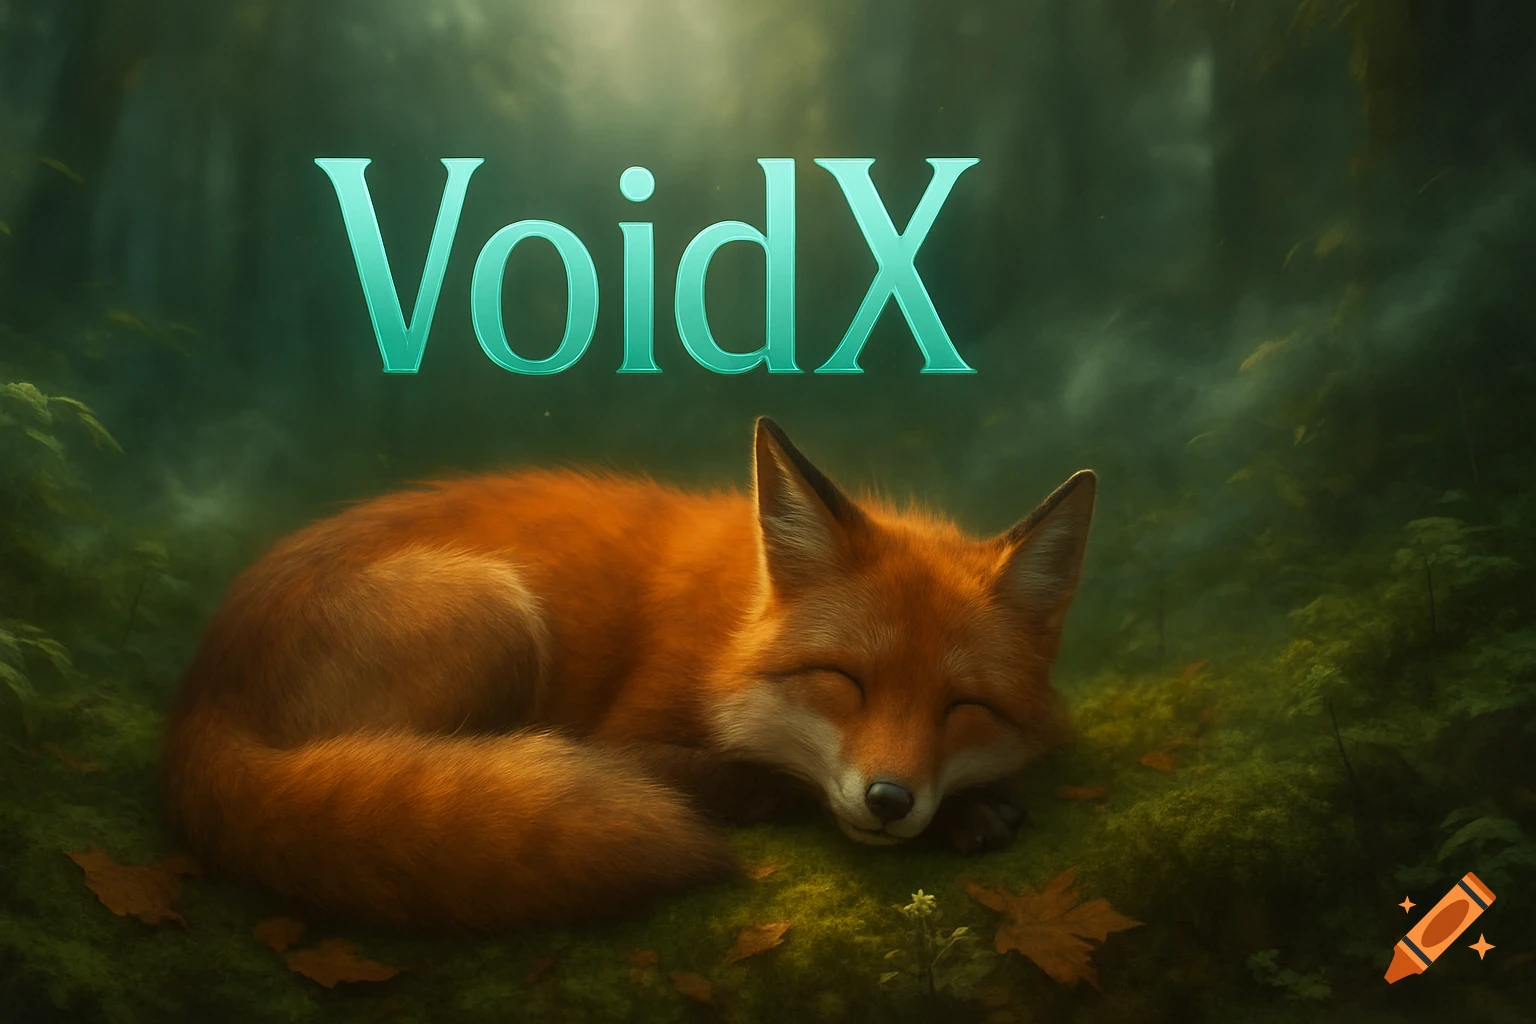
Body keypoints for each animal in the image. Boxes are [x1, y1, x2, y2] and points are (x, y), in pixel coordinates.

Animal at [161, 417, 1096, 930]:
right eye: (845, 681)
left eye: (963, 707)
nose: (891, 800)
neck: (731, 620)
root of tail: (199, 698)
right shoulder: (618, 738)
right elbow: (762, 777)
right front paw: (968, 814)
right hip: (498, 614)